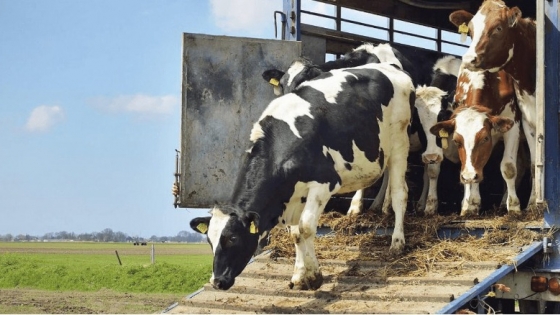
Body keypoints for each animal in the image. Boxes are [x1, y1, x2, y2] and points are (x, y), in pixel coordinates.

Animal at [190, 61, 414, 292]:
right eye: (210, 241)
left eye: (233, 238)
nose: (217, 281)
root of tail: (390, 66)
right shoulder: (294, 196)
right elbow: (296, 233)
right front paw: (299, 275)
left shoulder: (323, 183)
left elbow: (306, 228)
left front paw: (315, 276)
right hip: (382, 150)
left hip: (400, 142)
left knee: (400, 194)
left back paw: (397, 241)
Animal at [448, 1, 536, 211]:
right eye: (470, 31)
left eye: (498, 28)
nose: (469, 59)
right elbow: (468, 163)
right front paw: (469, 204)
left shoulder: (513, 122)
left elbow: (508, 167)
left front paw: (514, 207)